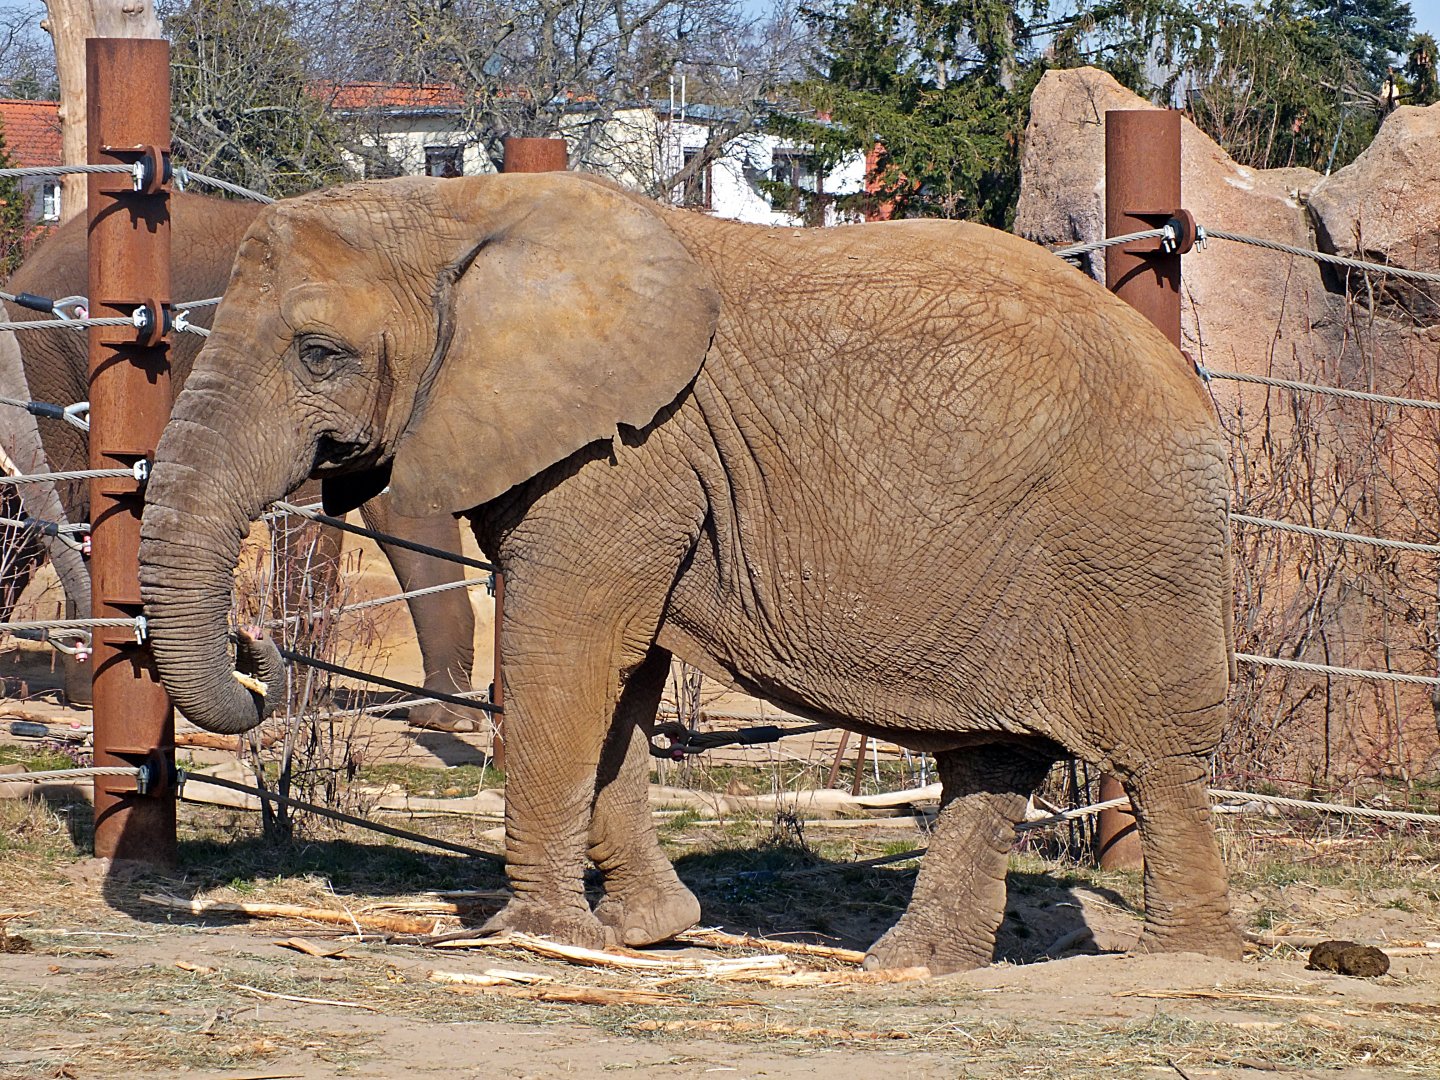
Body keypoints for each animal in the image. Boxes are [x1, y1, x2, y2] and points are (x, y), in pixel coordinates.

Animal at [0, 192, 481, 731]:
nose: (249, 642)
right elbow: (310, 514)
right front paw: (297, 707)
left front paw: (449, 720)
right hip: (50, 361)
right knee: (50, 510)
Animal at [136, 172, 1242, 973]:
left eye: (319, 353)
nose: (255, 653)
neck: (462, 206)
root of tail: (1192, 383)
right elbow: (621, 677)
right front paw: (648, 933)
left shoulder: (627, 453)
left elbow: (565, 651)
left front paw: (538, 941)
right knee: (993, 757)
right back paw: (916, 966)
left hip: (1132, 545)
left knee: (1158, 751)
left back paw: (1179, 966)